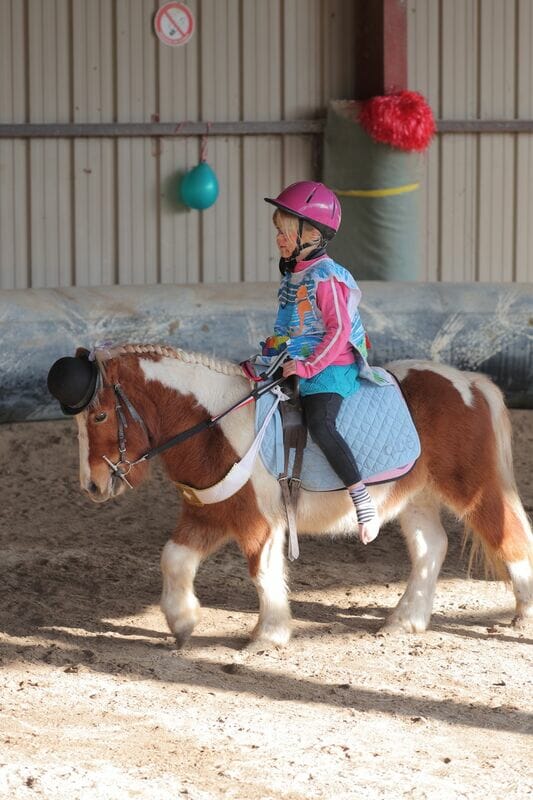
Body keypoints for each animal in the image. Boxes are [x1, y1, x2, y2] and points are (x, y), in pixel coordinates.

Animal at [76, 342, 532, 644]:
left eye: (100, 416)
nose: (93, 485)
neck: (215, 425)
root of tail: (470, 383)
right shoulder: (208, 513)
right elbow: (173, 559)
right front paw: (183, 621)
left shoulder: (259, 522)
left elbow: (262, 572)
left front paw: (269, 635)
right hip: (415, 496)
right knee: (431, 549)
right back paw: (404, 621)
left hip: (472, 487)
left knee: (511, 539)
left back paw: (522, 618)